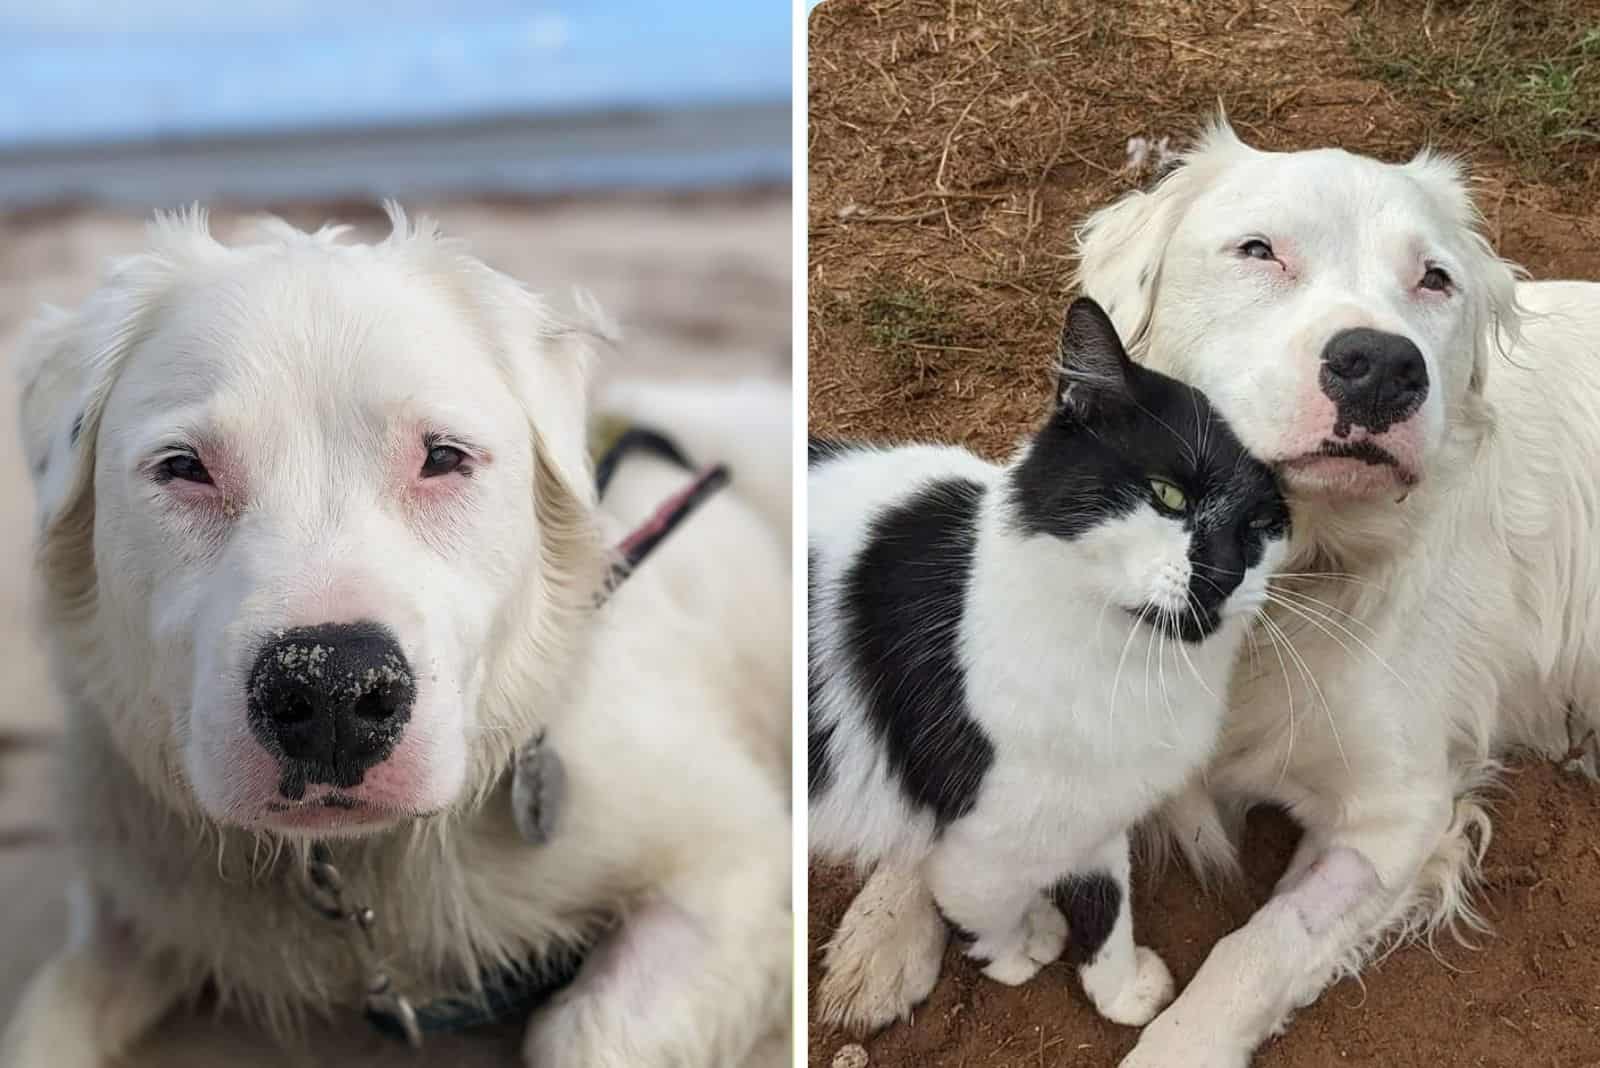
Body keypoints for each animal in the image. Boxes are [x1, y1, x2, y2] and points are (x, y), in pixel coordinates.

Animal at [0, 207, 796, 1068]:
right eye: (184, 468)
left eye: (442, 456)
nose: (330, 691)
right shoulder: (128, 908)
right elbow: (41, 1022)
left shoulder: (733, 867)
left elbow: (584, 1033)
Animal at [812, 294, 1286, 1023]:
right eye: (1168, 495)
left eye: (1261, 528)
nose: (1226, 576)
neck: (1125, 663)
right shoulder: (976, 843)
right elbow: (985, 909)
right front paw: (1019, 953)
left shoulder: (1094, 809)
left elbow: (1109, 902)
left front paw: (1118, 990)